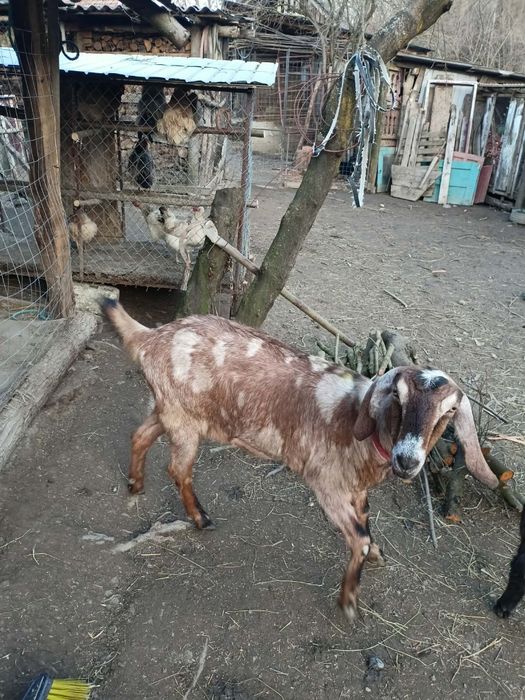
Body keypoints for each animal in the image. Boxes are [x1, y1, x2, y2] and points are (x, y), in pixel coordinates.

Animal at [102, 301, 498, 621]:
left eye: (449, 413)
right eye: (398, 399)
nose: (407, 459)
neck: (358, 423)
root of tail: (152, 337)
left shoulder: (355, 488)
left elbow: (367, 524)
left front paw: (375, 555)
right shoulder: (327, 485)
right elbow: (358, 537)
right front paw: (348, 601)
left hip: (169, 409)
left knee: (141, 436)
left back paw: (136, 483)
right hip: (183, 420)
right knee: (178, 469)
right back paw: (200, 517)